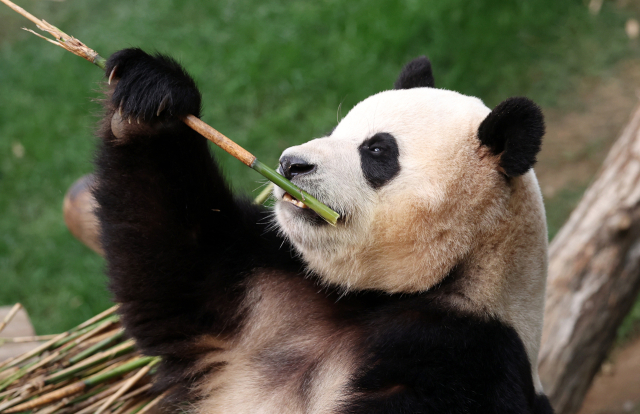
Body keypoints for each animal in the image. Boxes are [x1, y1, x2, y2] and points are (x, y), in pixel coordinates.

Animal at [92, 47, 552, 412]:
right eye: (336, 130)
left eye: (377, 150)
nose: (290, 164)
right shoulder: (266, 289)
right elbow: (179, 259)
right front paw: (151, 97)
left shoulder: (465, 356)